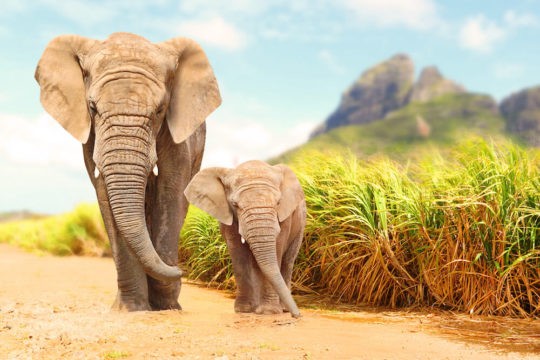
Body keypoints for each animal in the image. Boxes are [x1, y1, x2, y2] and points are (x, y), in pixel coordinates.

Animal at [34, 32, 220, 310]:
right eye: (92, 107)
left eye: (160, 110)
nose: (183, 271)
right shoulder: (92, 136)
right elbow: (104, 193)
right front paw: (131, 310)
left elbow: (170, 190)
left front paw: (166, 305)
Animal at [185, 160, 304, 318]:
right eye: (235, 205)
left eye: (278, 203)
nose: (297, 315)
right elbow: (238, 254)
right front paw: (244, 310)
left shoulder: (285, 218)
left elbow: (277, 250)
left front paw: (268, 312)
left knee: (288, 261)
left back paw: (282, 308)